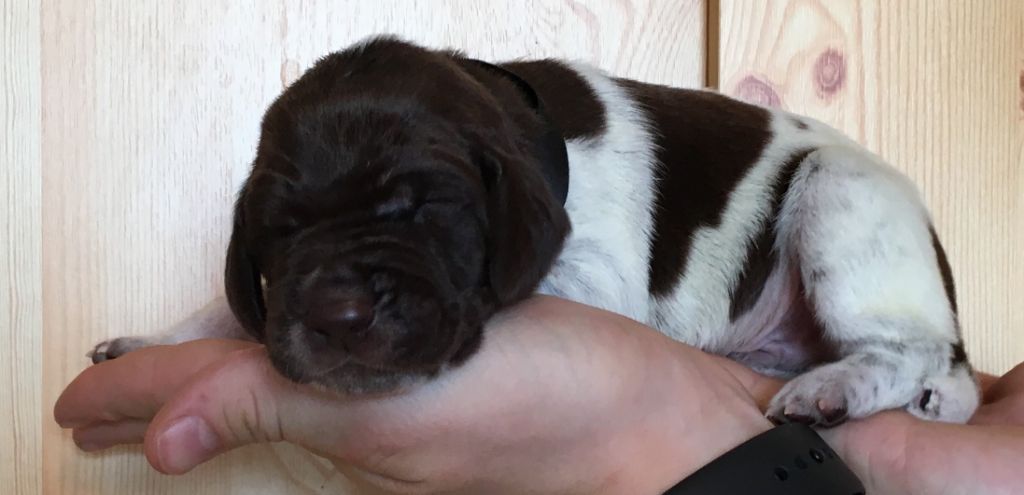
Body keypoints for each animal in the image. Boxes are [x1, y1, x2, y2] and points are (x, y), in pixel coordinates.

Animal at [90, 36, 979, 427]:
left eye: (424, 208)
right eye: (280, 232)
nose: (339, 316)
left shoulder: (595, 278)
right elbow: (235, 308)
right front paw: (157, 338)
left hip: (839, 196)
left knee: (913, 353)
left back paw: (838, 386)